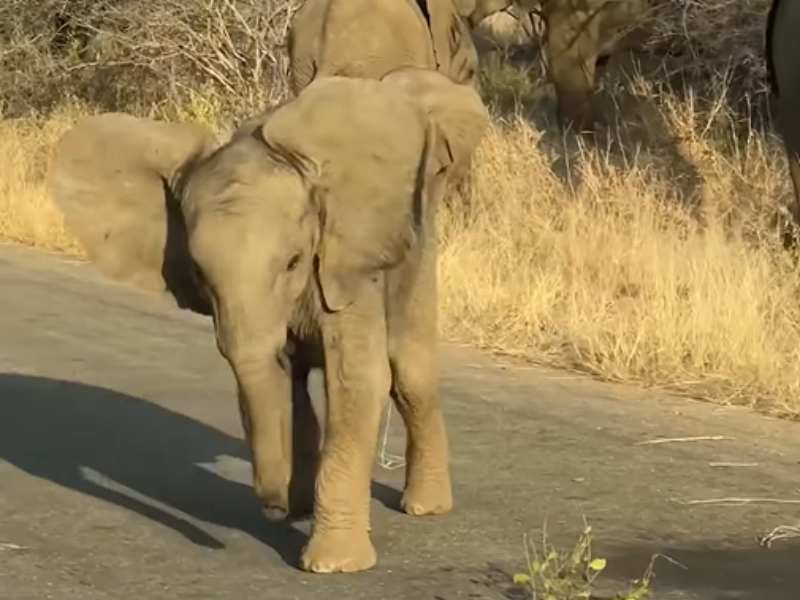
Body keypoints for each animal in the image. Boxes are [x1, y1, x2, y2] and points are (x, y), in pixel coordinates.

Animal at [47, 67, 489, 574]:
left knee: (409, 371)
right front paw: (296, 512)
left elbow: (358, 380)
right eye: (198, 275)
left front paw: (333, 566)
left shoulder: (343, 262)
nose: (274, 506)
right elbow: (285, 381)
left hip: (416, 248)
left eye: (295, 262)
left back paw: (424, 507)